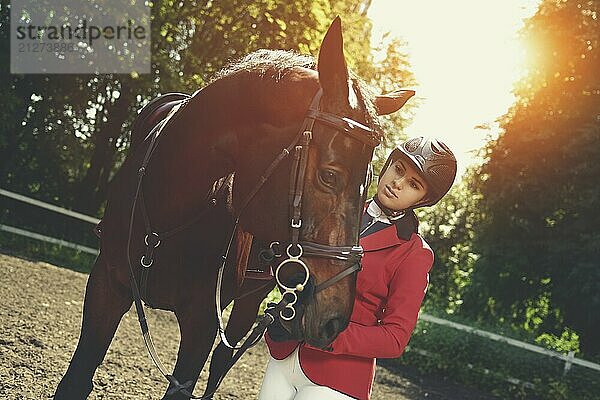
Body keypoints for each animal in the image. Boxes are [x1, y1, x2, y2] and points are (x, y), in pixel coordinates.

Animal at [54, 18, 414, 400]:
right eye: (329, 175)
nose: (334, 320)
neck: (168, 209)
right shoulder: (106, 285)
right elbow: (77, 379)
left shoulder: (201, 323)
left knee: (223, 358)